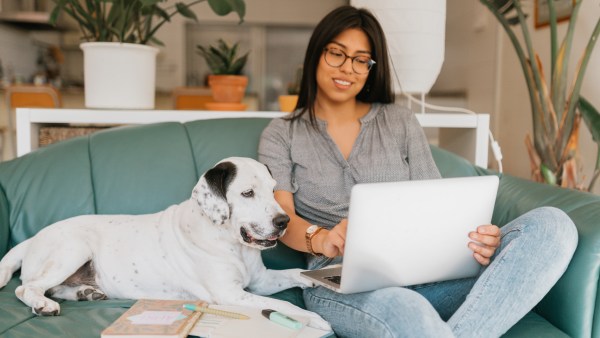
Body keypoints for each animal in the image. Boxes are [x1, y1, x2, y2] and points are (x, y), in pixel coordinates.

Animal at [0, 158, 330, 330]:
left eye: (273, 190)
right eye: (247, 193)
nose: (284, 221)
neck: (230, 242)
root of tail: (32, 238)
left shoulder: (260, 281)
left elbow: (294, 274)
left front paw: (320, 278)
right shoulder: (230, 295)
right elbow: (283, 305)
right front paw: (315, 319)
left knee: (51, 287)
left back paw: (85, 292)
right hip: (74, 247)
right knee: (27, 288)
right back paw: (43, 304)